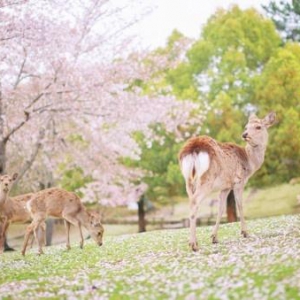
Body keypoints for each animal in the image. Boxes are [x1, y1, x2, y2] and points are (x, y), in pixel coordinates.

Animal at [179, 110, 276, 251]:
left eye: (258, 127)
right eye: (246, 127)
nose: (244, 134)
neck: (250, 163)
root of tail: (193, 149)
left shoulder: (225, 187)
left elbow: (221, 209)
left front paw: (214, 237)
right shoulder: (238, 181)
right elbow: (240, 205)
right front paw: (245, 232)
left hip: (187, 180)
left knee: (191, 202)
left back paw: (192, 241)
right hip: (207, 179)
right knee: (195, 202)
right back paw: (194, 245)